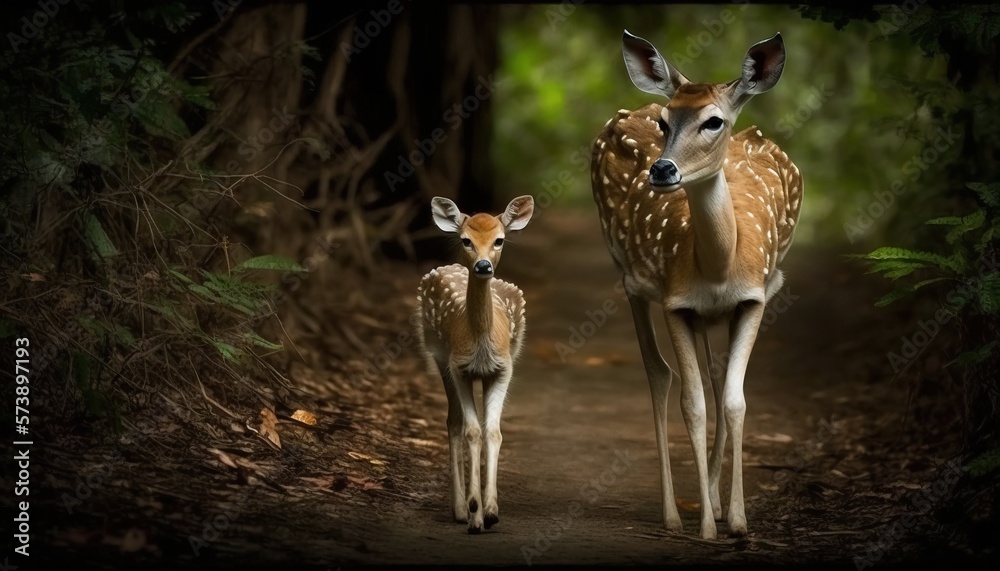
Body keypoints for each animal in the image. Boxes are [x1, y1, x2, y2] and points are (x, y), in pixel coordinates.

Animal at [416, 197, 536, 536]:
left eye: (500, 240)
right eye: (466, 240)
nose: (483, 266)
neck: (482, 343)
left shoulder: (504, 367)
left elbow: (492, 432)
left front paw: (491, 510)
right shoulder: (459, 367)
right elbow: (471, 431)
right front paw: (475, 512)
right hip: (437, 355)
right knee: (453, 422)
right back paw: (459, 509)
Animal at [592, 31, 804, 540]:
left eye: (714, 121)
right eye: (666, 121)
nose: (662, 169)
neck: (720, 266)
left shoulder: (755, 297)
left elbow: (734, 401)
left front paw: (738, 519)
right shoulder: (676, 302)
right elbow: (694, 405)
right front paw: (707, 525)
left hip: (714, 313)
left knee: (712, 376)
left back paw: (713, 499)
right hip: (628, 275)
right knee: (658, 373)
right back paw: (673, 514)